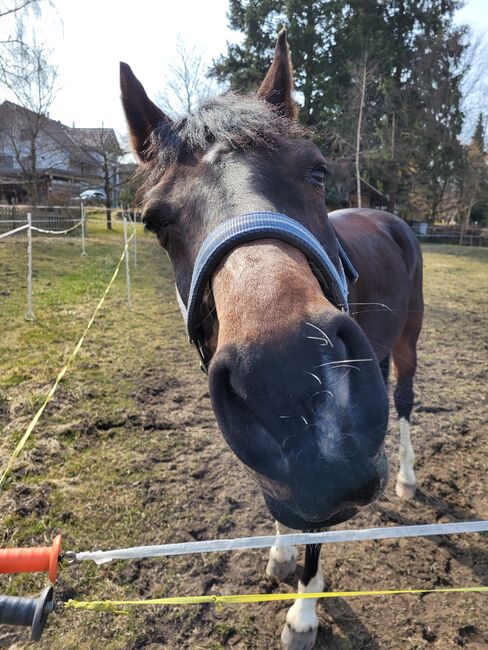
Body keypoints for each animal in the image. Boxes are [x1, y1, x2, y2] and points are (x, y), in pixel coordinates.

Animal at [119, 30, 424, 648]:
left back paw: (406, 478)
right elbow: (289, 499)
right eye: (155, 221)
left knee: (404, 403)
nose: (286, 378)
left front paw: (304, 613)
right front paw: (281, 555)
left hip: (406, 344)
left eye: (316, 171)